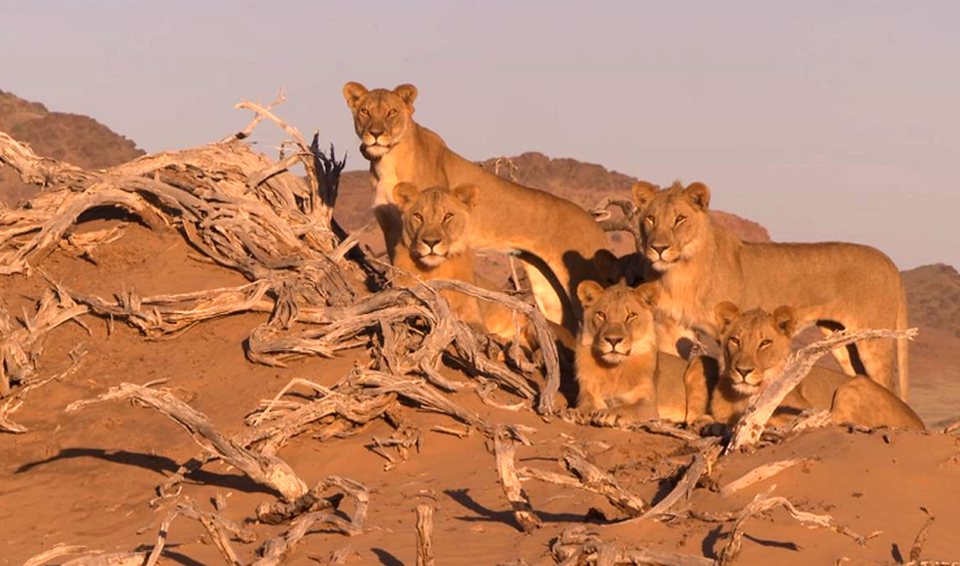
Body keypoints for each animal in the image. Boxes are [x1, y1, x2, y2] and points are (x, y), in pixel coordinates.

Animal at [343, 82, 610, 332]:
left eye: (392, 112)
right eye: (365, 111)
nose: (375, 133)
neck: (386, 161)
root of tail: (594, 225)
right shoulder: (391, 228)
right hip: (548, 290)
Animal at [574, 280, 714, 426]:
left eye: (631, 315)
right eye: (601, 314)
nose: (613, 340)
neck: (613, 371)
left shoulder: (648, 404)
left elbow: (628, 407)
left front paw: (609, 413)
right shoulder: (588, 392)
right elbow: (587, 403)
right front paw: (580, 412)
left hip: (701, 360)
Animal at [632, 181, 910, 400]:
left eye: (680, 219)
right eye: (651, 218)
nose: (658, 248)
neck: (680, 272)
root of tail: (889, 261)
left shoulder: (730, 331)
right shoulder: (672, 328)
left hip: (874, 340)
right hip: (842, 341)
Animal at [710, 302, 924, 430]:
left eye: (765, 343)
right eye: (735, 340)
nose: (743, 371)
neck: (740, 397)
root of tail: (920, 424)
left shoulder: (801, 409)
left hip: (852, 387)